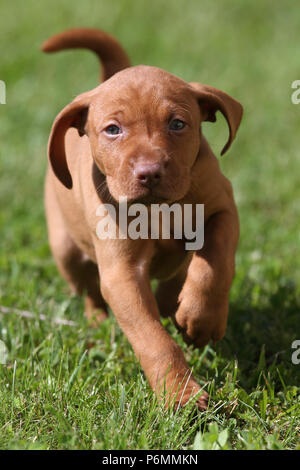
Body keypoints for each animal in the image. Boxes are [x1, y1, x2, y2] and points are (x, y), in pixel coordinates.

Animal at [42, 29, 243, 410]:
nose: (149, 173)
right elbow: (154, 340)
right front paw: (180, 395)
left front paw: (202, 319)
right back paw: (97, 324)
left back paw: (176, 305)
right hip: (65, 250)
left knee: (179, 275)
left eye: (177, 124)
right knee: (89, 289)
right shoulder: (122, 273)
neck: (157, 210)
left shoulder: (223, 208)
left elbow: (215, 262)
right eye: (113, 130)